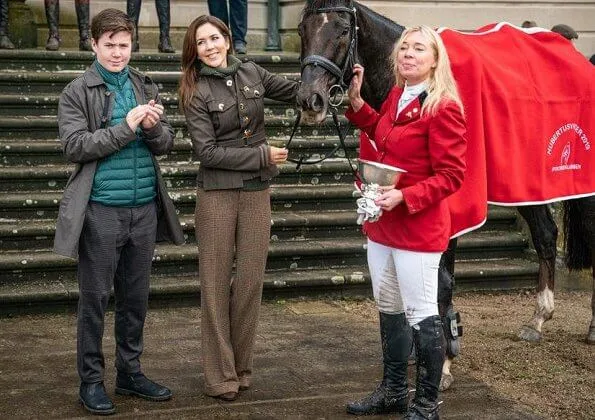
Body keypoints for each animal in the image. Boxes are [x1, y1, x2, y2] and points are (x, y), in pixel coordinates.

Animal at [296, 0, 595, 392]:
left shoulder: (447, 209)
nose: (309, 100)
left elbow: (441, 284)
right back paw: (538, 319)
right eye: (302, 29)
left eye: (344, 30)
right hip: (529, 186)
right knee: (546, 235)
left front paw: (444, 363)